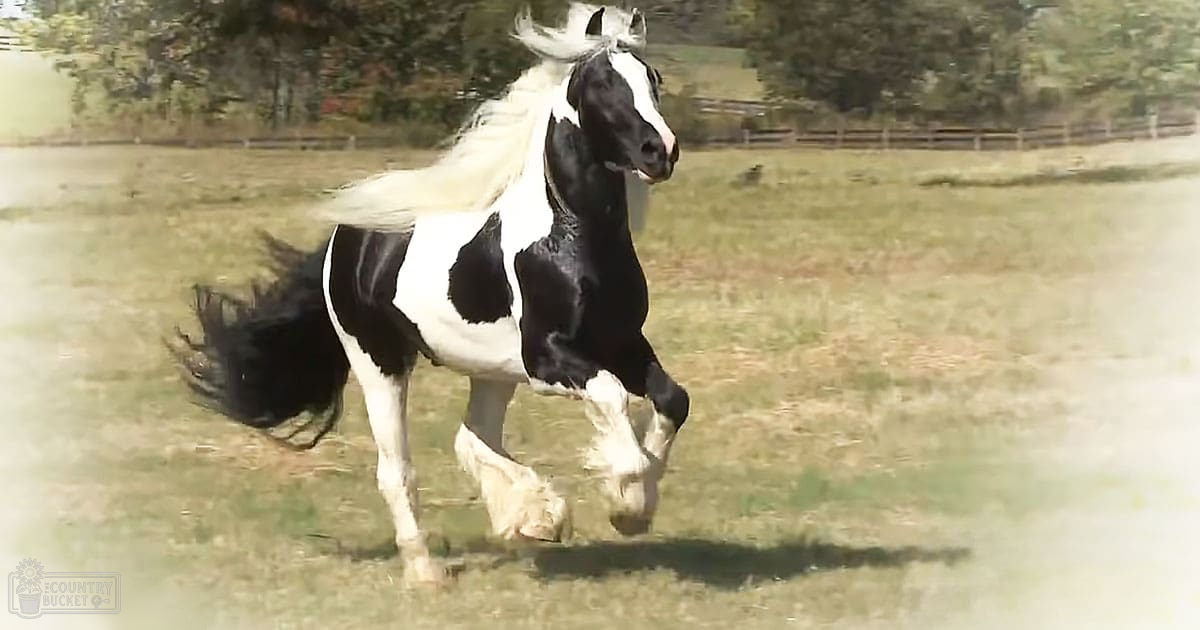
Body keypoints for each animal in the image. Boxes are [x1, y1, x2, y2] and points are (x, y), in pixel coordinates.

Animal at [172, 4, 686, 586]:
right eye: (602, 83)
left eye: (652, 78)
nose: (660, 151)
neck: (570, 235)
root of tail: (346, 239)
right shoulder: (549, 358)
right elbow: (613, 398)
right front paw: (625, 501)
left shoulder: (623, 343)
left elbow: (672, 399)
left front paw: (637, 503)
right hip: (379, 362)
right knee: (396, 468)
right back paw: (426, 571)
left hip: (492, 368)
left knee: (471, 436)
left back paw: (532, 518)